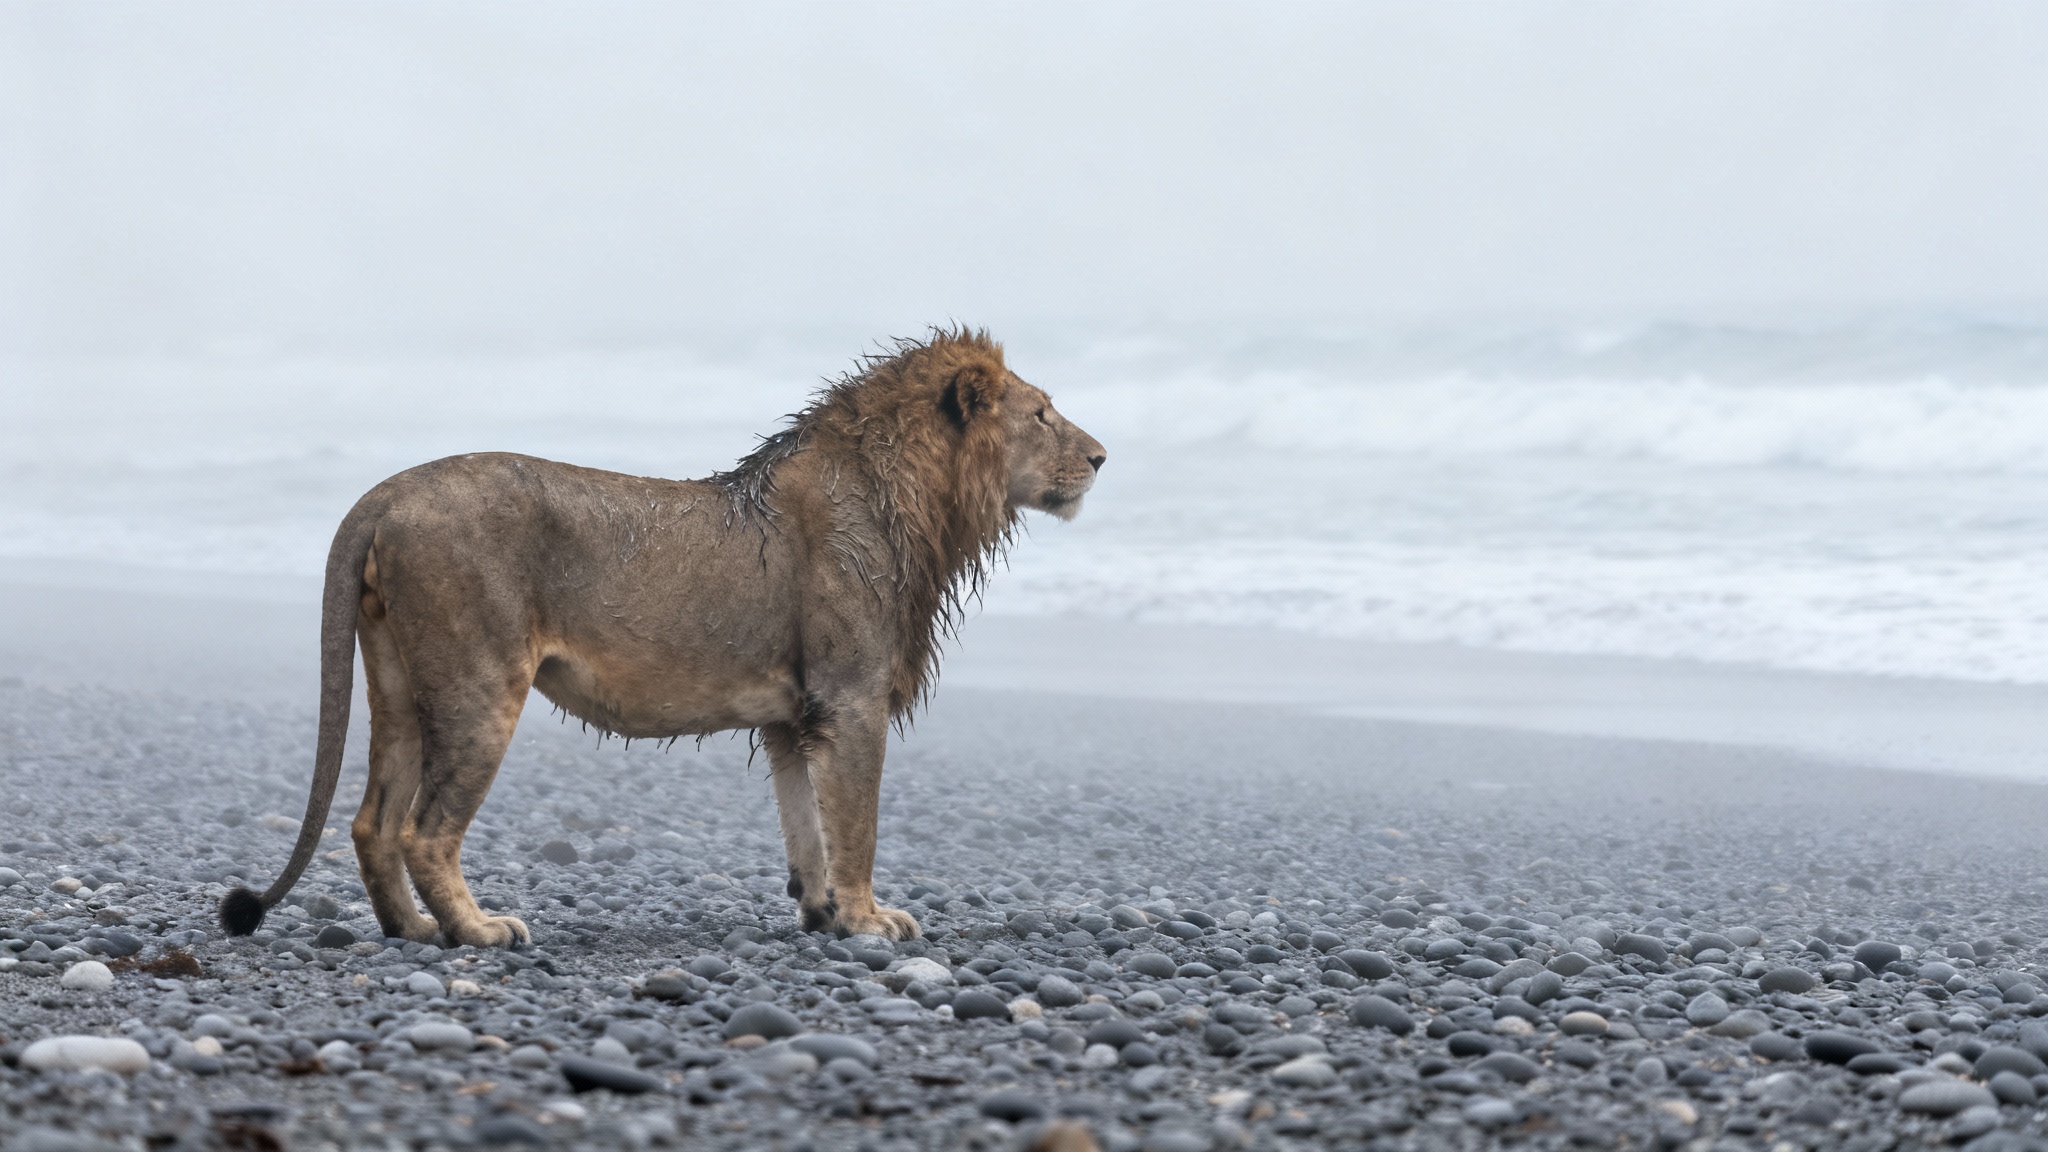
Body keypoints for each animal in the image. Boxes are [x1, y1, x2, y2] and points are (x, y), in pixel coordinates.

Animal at [218, 330, 1105, 946]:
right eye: (1041, 414)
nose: (1101, 456)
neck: (917, 497)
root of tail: (386, 492)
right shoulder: (851, 701)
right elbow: (856, 824)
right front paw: (867, 918)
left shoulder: (794, 716)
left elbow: (807, 826)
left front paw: (823, 913)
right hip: (479, 685)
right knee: (423, 831)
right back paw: (476, 931)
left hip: (401, 684)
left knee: (373, 823)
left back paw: (411, 930)